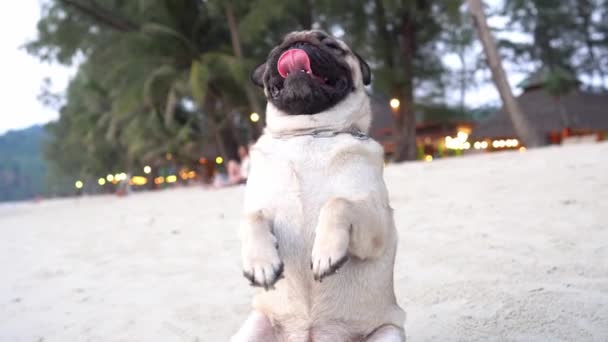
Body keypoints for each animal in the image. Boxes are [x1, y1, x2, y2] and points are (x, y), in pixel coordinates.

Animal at [230, 30, 406, 342]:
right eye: (277, 49)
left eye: (331, 44)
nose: (297, 43)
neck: (309, 133)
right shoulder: (256, 206)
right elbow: (252, 219)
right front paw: (261, 263)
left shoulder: (377, 224)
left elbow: (338, 203)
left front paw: (326, 252)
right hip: (253, 327)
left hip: (389, 333)